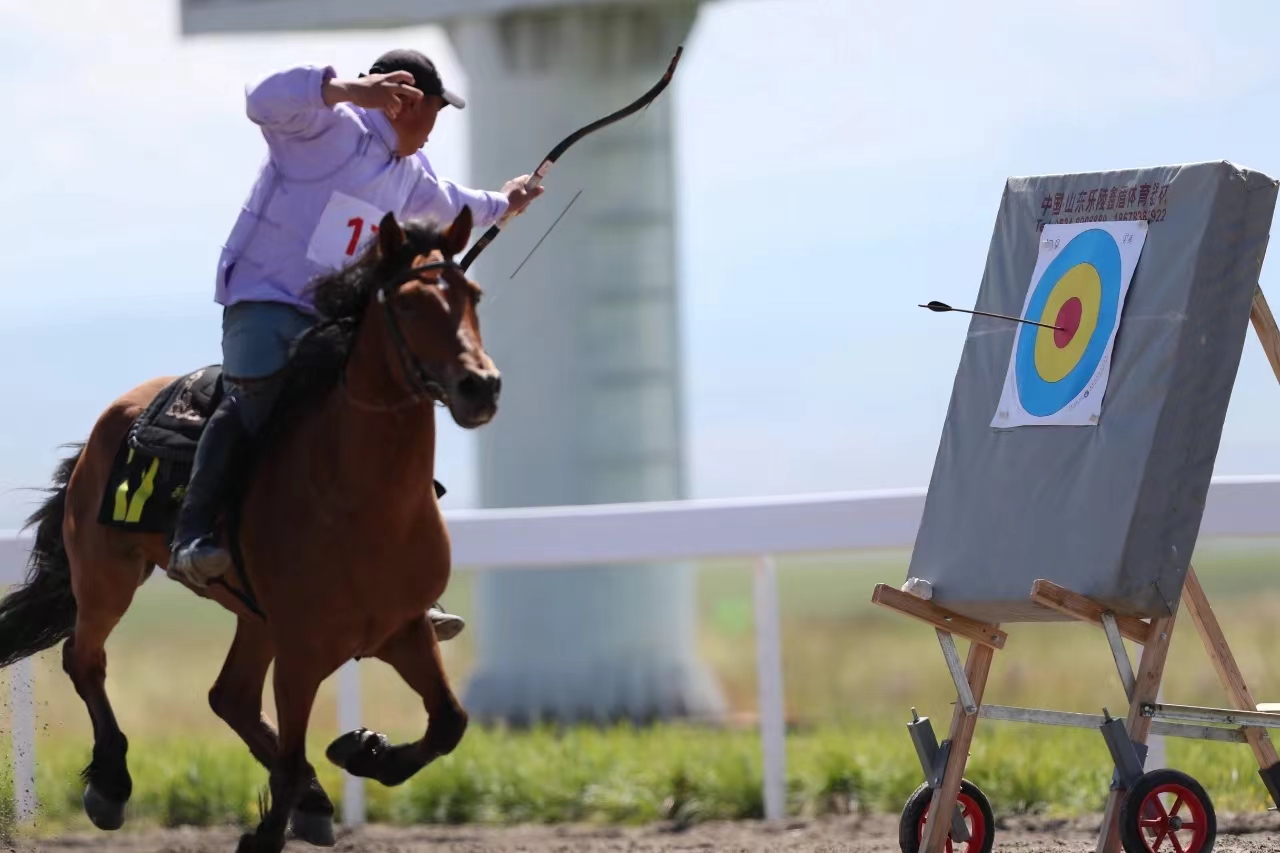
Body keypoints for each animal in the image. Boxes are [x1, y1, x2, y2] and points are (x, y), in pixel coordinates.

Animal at [0, 206, 496, 850]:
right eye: (409, 303)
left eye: (473, 296)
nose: (480, 385)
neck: (363, 503)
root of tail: (112, 417)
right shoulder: (303, 649)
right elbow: (290, 751)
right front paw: (266, 831)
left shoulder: (401, 629)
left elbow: (448, 724)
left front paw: (363, 750)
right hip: (106, 574)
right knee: (85, 660)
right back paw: (110, 784)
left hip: (253, 618)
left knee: (230, 697)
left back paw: (314, 799)